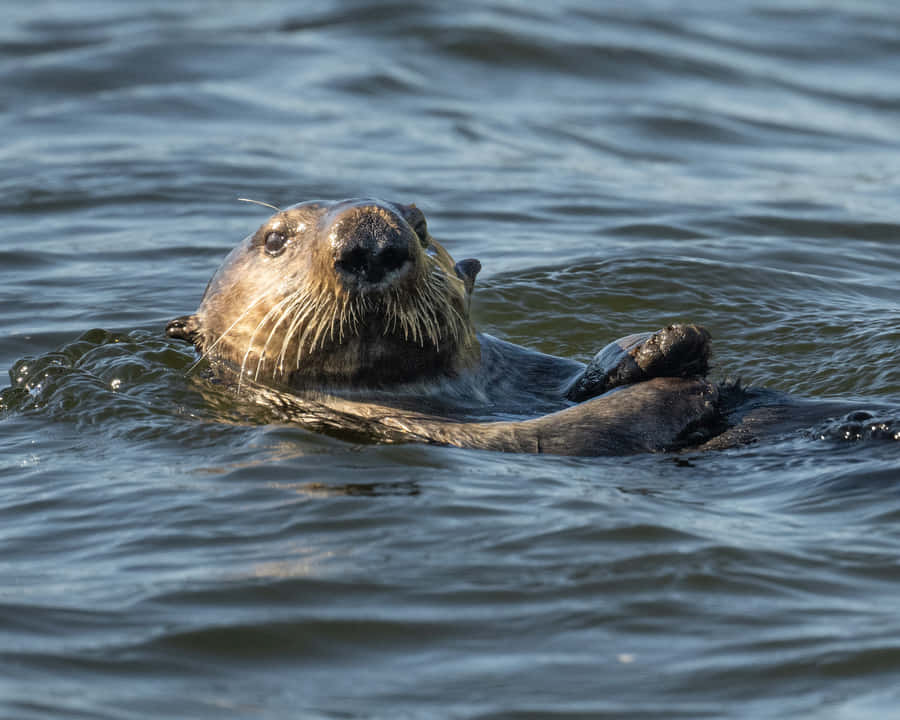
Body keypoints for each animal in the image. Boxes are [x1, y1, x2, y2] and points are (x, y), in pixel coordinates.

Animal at [165, 198, 862, 455]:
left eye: (420, 224)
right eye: (275, 239)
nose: (372, 239)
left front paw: (657, 346)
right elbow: (575, 430)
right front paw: (669, 380)